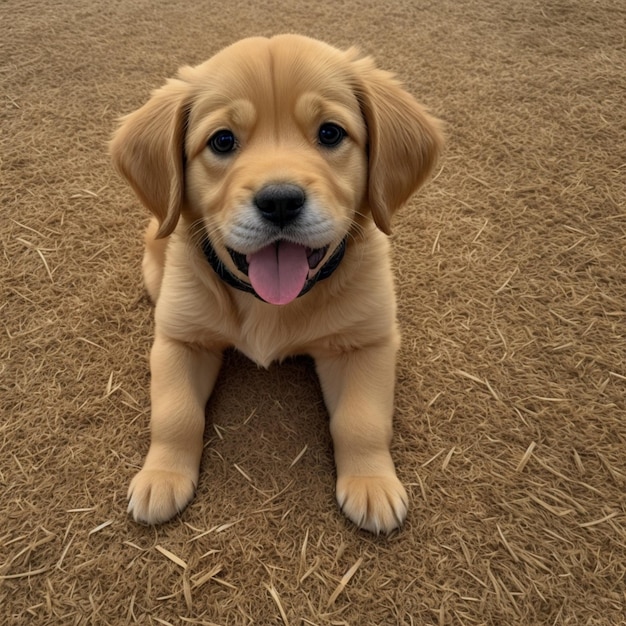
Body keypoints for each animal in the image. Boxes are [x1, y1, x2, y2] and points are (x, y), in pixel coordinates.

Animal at [113, 34, 444, 532]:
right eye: (222, 140)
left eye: (330, 133)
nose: (281, 201)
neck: (270, 303)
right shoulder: (179, 339)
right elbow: (175, 414)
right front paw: (162, 477)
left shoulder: (367, 342)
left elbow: (362, 420)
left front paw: (372, 484)